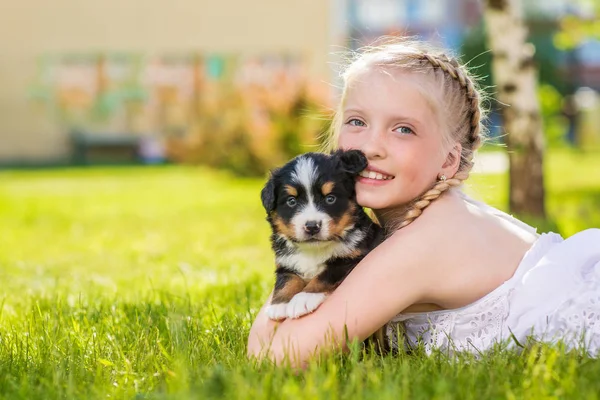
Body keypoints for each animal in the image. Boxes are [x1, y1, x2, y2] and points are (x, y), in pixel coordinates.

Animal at [258, 148, 382, 320]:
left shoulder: (354, 257)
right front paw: (280, 304)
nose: (312, 226)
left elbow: (325, 274)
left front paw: (304, 298)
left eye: (330, 199)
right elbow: (287, 278)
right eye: (291, 201)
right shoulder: (285, 261)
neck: (314, 250)